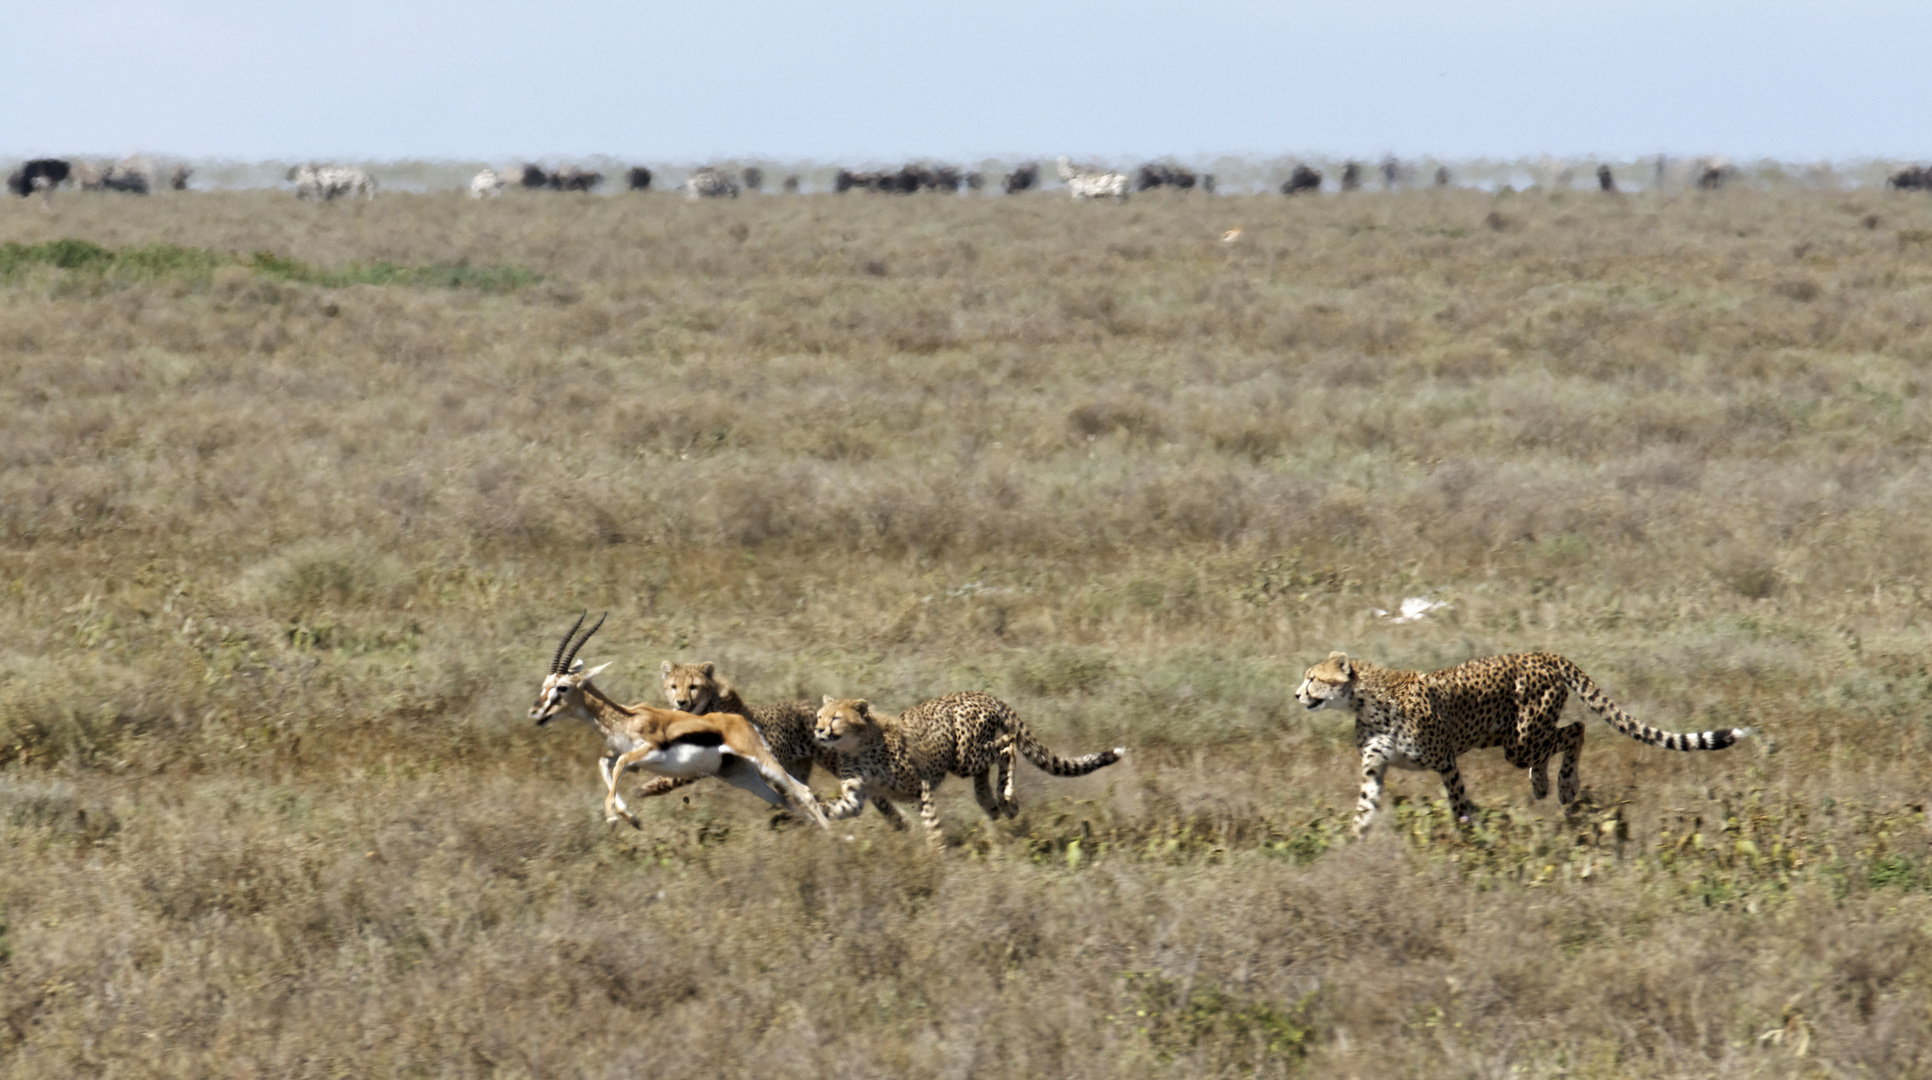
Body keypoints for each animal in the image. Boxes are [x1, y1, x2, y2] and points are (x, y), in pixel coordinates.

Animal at [811, 691, 1120, 846]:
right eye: (819, 716)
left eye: (835, 718)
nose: (817, 730)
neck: (857, 745)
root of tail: (978, 692)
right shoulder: (859, 795)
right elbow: (838, 808)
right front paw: (809, 814)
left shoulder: (919, 787)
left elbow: (931, 824)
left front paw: (937, 855)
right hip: (968, 758)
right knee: (988, 771)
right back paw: (994, 805)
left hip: (964, 756)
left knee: (1008, 745)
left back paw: (1008, 798)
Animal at [1298, 649, 1754, 838]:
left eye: (1313, 677)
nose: (1297, 694)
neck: (1365, 699)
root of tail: (1542, 652)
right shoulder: (1375, 767)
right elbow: (1364, 811)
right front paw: (1351, 850)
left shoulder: (1445, 760)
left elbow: (1460, 807)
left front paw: (1469, 844)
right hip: (1514, 737)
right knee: (1561, 737)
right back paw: (1544, 782)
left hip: (1518, 739)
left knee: (1574, 730)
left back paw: (1562, 785)